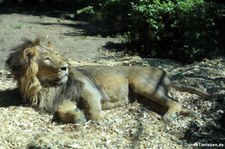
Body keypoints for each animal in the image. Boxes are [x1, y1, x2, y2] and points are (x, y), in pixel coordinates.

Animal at [5, 38, 209, 123]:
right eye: (47, 59)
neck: (45, 86)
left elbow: (93, 106)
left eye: (55, 55)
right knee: (176, 103)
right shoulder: (63, 99)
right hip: (146, 99)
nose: (65, 67)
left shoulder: (89, 90)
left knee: (174, 103)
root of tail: (165, 72)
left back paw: (170, 116)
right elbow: (63, 111)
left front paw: (99, 121)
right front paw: (78, 117)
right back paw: (190, 114)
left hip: (143, 86)